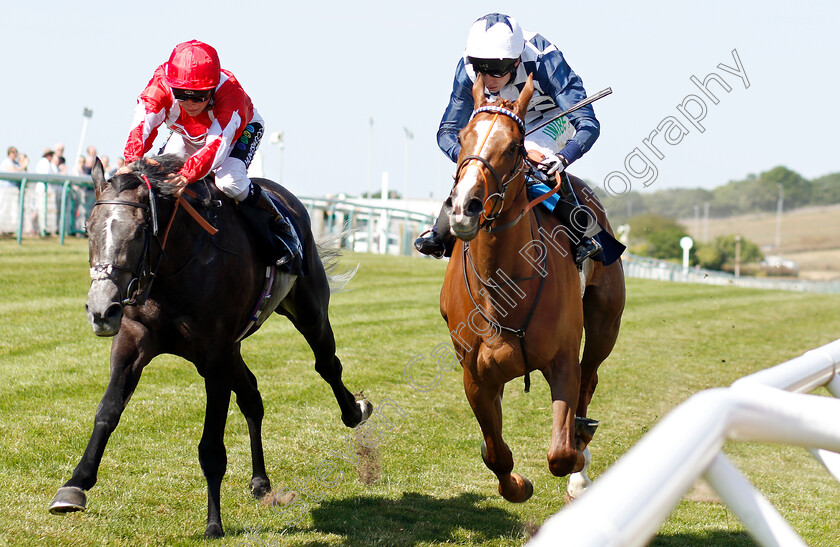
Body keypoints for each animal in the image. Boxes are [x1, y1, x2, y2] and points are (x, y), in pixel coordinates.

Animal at [48, 156, 370, 536]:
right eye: (88, 227)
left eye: (139, 231)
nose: (101, 310)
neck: (174, 269)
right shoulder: (133, 340)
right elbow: (107, 410)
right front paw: (75, 485)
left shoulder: (215, 358)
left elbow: (211, 447)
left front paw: (214, 522)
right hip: (236, 347)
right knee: (252, 397)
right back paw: (260, 481)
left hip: (309, 310)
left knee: (327, 364)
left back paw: (355, 411)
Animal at [440, 76, 624, 506]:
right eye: (463, 136)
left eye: (513, 146)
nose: (464, 207)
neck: (503, 286)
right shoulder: (475, 377)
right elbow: (495, 452)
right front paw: (517, 484)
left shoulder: (562, 361)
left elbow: (561, 453)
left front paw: (576, 457)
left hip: (605, 324)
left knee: (589, 379)